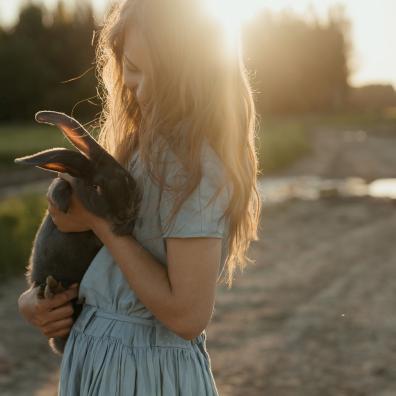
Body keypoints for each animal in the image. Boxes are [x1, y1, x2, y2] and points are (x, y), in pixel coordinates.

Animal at [14, 110, 142, 354]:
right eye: (97, 187)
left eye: (126, 177)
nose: (125, 212)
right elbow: (59, 186)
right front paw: (62, 202)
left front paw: (124, 227)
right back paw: (51, 289)